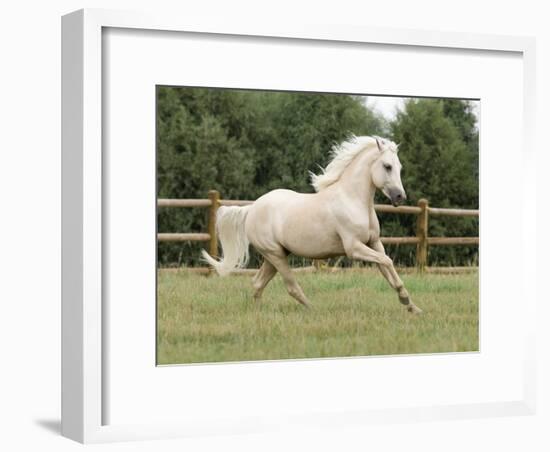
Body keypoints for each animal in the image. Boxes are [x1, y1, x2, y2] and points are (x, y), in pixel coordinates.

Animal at [203, 136, 422, 312]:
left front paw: (412, 306)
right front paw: (405, 300)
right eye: (387, 166)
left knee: (257, 283)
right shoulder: (354, 248)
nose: (400, 197)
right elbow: (387, 262)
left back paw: (259, 313)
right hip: (275, 255)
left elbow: (387, 267)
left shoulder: (374, 243)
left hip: (275, 256)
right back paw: (313, 309)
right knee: (291, 286)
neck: (352, 200)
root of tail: (252, 209)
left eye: (399, 168)